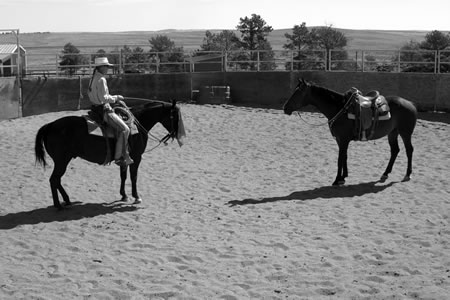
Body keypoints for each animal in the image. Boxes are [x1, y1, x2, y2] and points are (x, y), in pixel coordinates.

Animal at [33, 100, 185, 209]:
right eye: (176, 117)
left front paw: (124, 195)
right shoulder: (136, 157)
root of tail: (51, 125)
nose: (176, 135)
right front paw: (136, 197)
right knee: (54, 180)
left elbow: (123, 176)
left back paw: (67, 200)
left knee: (56, 180)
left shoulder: (124, 157)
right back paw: (58, 205)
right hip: (61, 161)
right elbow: (133, 177)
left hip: (63, 161)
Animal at [284, 78, 416, 185]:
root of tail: (410, 104)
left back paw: (407, 174)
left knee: (409, 150)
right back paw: (385, 174)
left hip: (405, 133)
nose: (285, 108)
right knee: (395, 150)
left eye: (298, 93)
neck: (340, 108)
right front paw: (343, 177)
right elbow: (344, 157)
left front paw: (337, 180)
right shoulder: (340, 140)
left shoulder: (343, 140)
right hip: (393, 133)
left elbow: (340, 159)